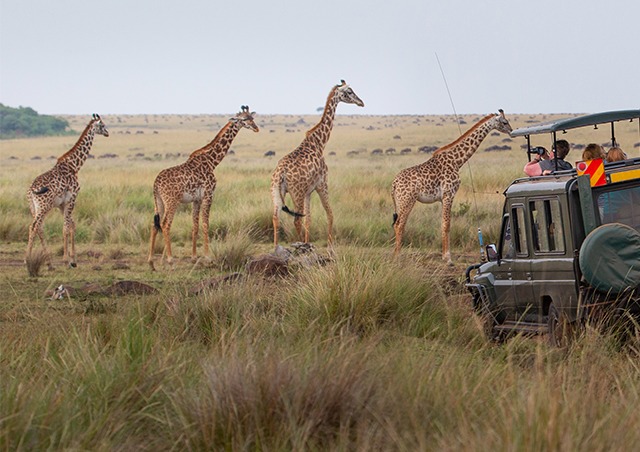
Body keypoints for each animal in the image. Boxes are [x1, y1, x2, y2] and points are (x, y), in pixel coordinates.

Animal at [25, 114, 109, 268]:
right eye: (102, 125)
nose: (107, 133)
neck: (74, 165)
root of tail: (31, 190)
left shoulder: (61, 204)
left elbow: (71, 225)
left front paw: (73, 260)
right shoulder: (72, 198)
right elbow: (66, 227)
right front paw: (66, 260)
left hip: (34, 207)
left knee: (39, 227)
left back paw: (49, 263)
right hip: (44, 206)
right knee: (33, 226)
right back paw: (27, 259)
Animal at [149, 105, 258, 272]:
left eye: (252, 118)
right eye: (244, 119)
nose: (256, 128)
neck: (212, 162)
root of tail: (156, 184)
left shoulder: (197, 199)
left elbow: (195, 225)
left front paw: (194, 257)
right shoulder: (208, 195)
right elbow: (206, 224)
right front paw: (207, 257)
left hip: (159, 202)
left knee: (154, 225)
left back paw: (152, 262)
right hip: (171, 201)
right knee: (165, 224)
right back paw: (170, 260)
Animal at [270, 79, 364, 245]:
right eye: (350, 91)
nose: (361, 102)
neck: (319, 142)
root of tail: (280, 173)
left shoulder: (309, 191)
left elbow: (309, 220)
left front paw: (308, 243)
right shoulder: (322, 183)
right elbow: (330, 214)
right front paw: (329, 244)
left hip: (276, 192)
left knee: (276, 218)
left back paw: (277, 247)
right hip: (297, 193)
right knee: (296, 220)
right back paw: (299, 244)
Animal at [392, 110, 512, 264]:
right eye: (504, 122)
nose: (511, 130)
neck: (457, 161)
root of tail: (394, 183)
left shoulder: (443, 198)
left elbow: (443, 223)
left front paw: (445, 255)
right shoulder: (449, 194)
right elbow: (447, 224)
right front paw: (448, 258)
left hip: (400, 201)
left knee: (398, 224)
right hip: (407, 200)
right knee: (399, 224)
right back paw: (397, 256)